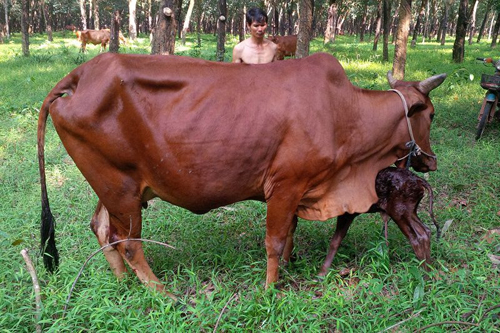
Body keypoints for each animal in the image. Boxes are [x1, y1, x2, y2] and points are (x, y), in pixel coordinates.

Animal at [38, 52, 446, 298]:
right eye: (430, 113)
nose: (430, 161)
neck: (344, 112)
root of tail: (80, 74)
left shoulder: (295, 192)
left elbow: (290, 234)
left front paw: (289, 268)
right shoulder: (285, 185)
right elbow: (275, 241)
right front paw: (269, 289)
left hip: (114, 186)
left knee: (101, 228)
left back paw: (124, 284)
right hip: (120, 188)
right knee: (127, 242)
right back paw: (162, 292)